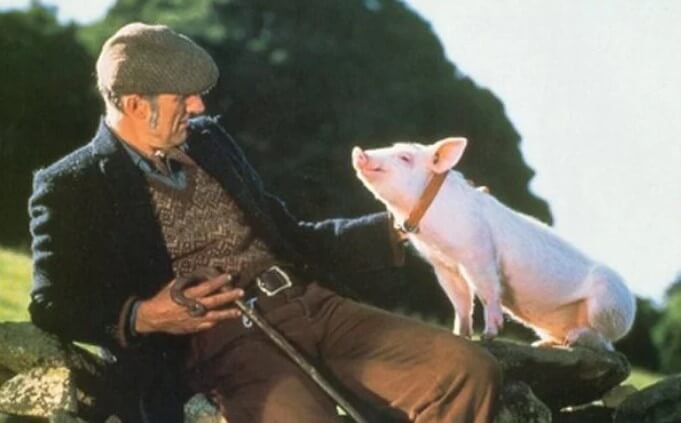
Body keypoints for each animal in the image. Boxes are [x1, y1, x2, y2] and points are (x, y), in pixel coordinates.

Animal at [351, 138, 636, 351]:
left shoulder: (479, 251)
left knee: (604, 342)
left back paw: (572, 339)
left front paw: (488, 336)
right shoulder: (444, 265)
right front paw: (459, 335)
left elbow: (487, 291)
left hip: (608, 305)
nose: (359, 152)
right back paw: (542, 344)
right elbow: (461, 301)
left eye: (405, 158)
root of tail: (630, 305)